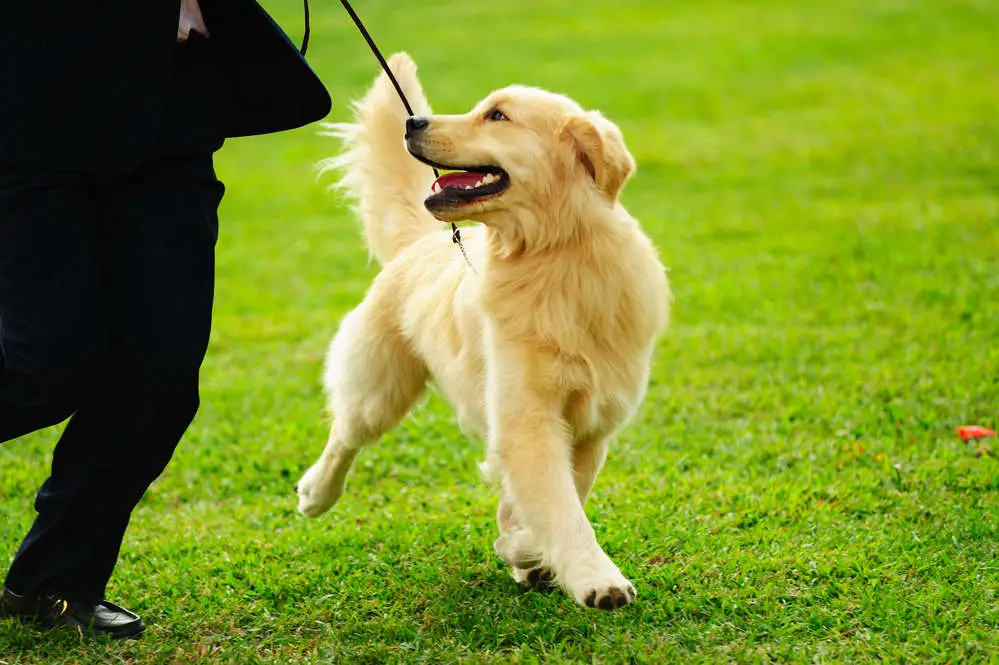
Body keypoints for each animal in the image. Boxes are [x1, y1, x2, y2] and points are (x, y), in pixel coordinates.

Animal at [298, 54, 672, 608]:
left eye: (497, 116)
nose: (413, 122)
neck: (553, 255)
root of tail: (421, 243)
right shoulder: (526, 418)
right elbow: (562, 512)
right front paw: (594, 577)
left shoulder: (591, 425)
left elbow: (559, 500)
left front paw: (525, 551)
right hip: (379, 389)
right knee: (345, 433)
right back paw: (316, 492)